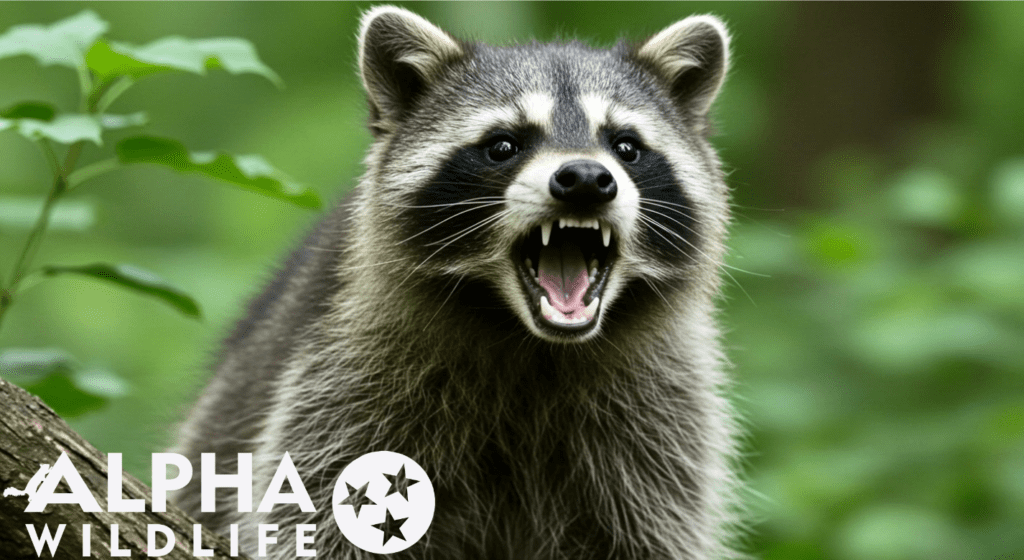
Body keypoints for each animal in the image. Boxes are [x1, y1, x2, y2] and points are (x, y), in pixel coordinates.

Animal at [172, 6, 739, 559]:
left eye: (626, 146)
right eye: (503, 145)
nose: (584, 179)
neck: (532, 342)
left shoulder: (661, 408)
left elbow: (647, 529)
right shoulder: (344, 378)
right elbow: (316, 513)